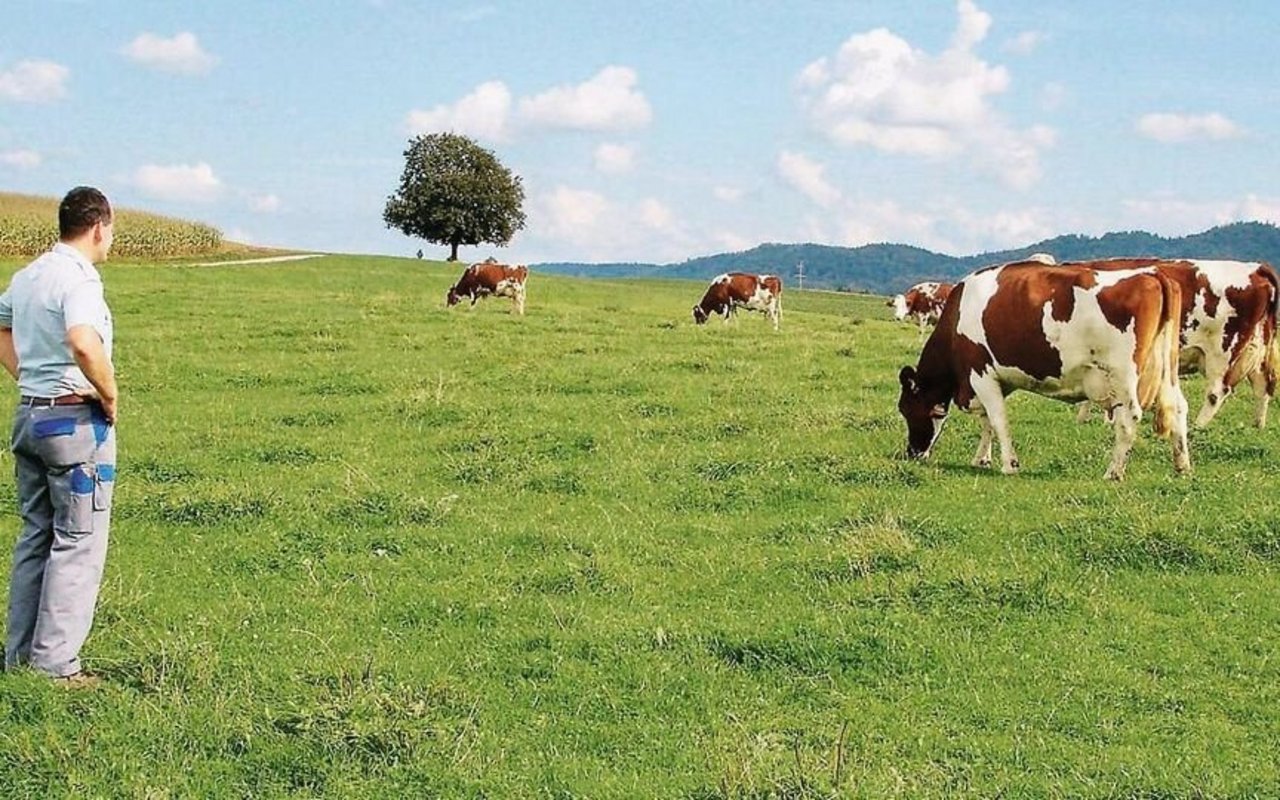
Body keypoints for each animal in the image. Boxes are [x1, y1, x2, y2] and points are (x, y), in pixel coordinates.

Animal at [901, 257, 1187, 481]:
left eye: (905, 409)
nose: (912, 453)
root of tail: (1153, 274)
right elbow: (987, 420)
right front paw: (981, 459)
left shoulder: (980, 373)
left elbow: (998, 419)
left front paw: (1009, 465)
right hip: (1168, 370)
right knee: (1179, 407)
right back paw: (1182, 466)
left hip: (1123, 375)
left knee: (1129, 417)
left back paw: (1113, 472)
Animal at [1070, 258, 1280, 427]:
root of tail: (1255, 268)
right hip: (1256, 348)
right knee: (1263, 384)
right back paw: (1258, 424)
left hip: (1224, 349)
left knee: (1217, 392)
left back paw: (1198, 425)